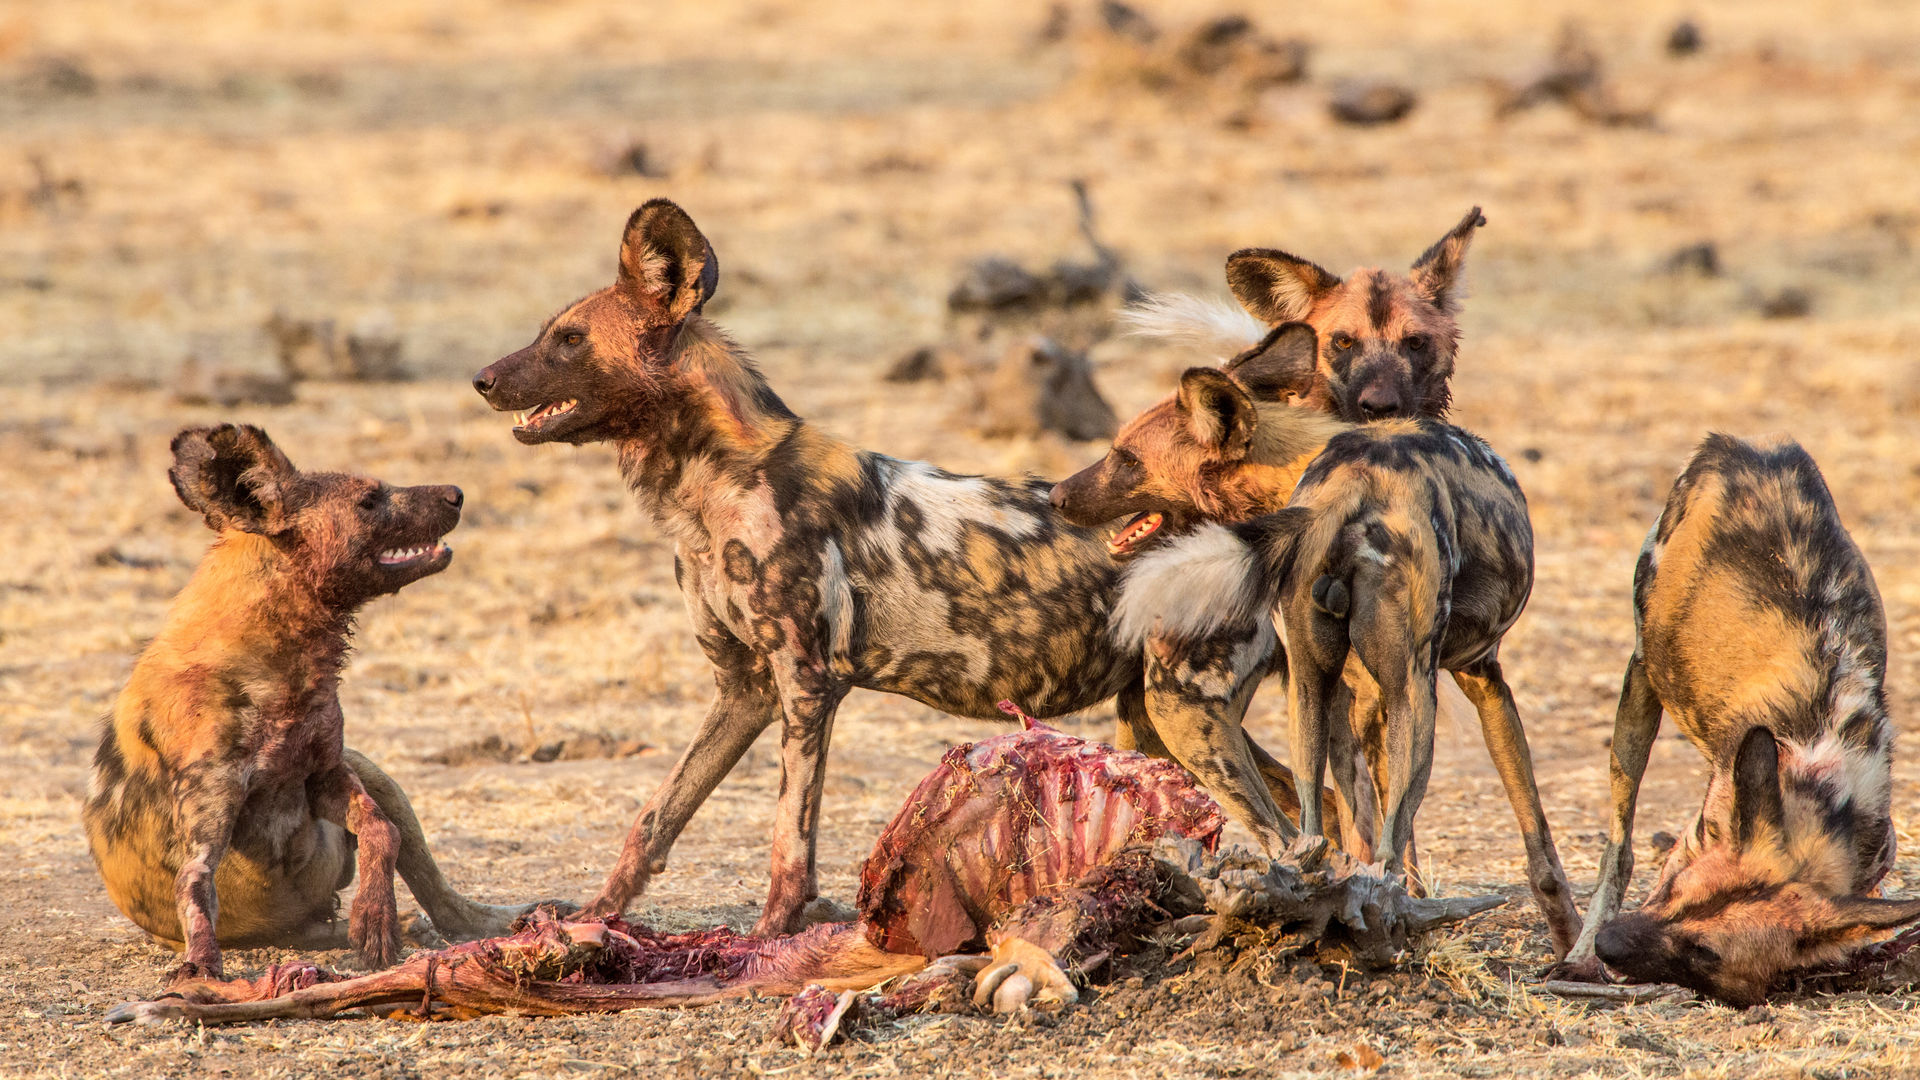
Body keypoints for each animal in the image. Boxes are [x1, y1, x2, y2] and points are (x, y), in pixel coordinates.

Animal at [85, 424, 537, 980]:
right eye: (369, 500)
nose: (456, 493)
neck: (283, 665)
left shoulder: (325, 773)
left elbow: (382, 831)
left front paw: (375, 922)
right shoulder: (209, 820)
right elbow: (194, 883)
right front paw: (202, 967)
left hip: (370, 771)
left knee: (438, 893)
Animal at [464, 199, 1336, 933]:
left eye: (569, 340)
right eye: (548, 332)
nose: (482, 378)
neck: (711, 483)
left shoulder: (806, 686)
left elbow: (790, 843)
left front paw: (769, 945)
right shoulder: (743, 690)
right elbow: (655, 819)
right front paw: (591, 921)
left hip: (1185, 713)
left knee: (1284, 832)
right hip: (1160, 720)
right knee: (1311, 811)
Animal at [1059, 328, 1582, 949]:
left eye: (1126, 458)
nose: (1056, 496)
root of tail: (1350, 489)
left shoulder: (1349, 698)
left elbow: (1365, 827)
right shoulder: (1479, 680)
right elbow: (1535, 840)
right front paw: (1575, 944)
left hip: (1302, 695)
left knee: (1308, 833)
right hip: (1409, 697)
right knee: (1375, 844)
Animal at [1559, 430, 1920, 999]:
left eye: (1702, 951)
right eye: (1675, 891)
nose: (1608, 944)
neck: (1822, 785)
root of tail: (1751, 445)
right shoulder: (1693, 842)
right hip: (1639, 689)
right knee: (1619, 846)